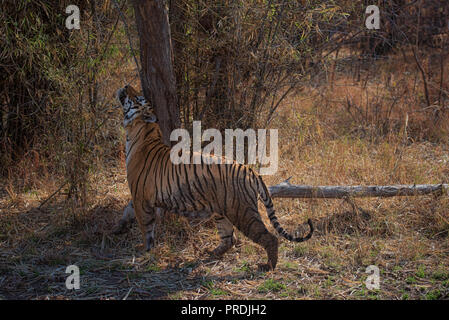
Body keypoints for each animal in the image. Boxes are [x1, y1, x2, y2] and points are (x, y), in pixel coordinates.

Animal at [115, 84, 312, 270]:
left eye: (136, 97)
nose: (126, 86)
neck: (140, 131)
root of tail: (249, 170)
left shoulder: (141, 197)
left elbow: (146, 226)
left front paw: (145, 251)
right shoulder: (139, 195)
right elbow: (128, 210)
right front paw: (120, 228)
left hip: (243, 212)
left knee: (269, 237)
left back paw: (268, 266)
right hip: (222, 211)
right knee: (229, 238)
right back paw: (211, 253)